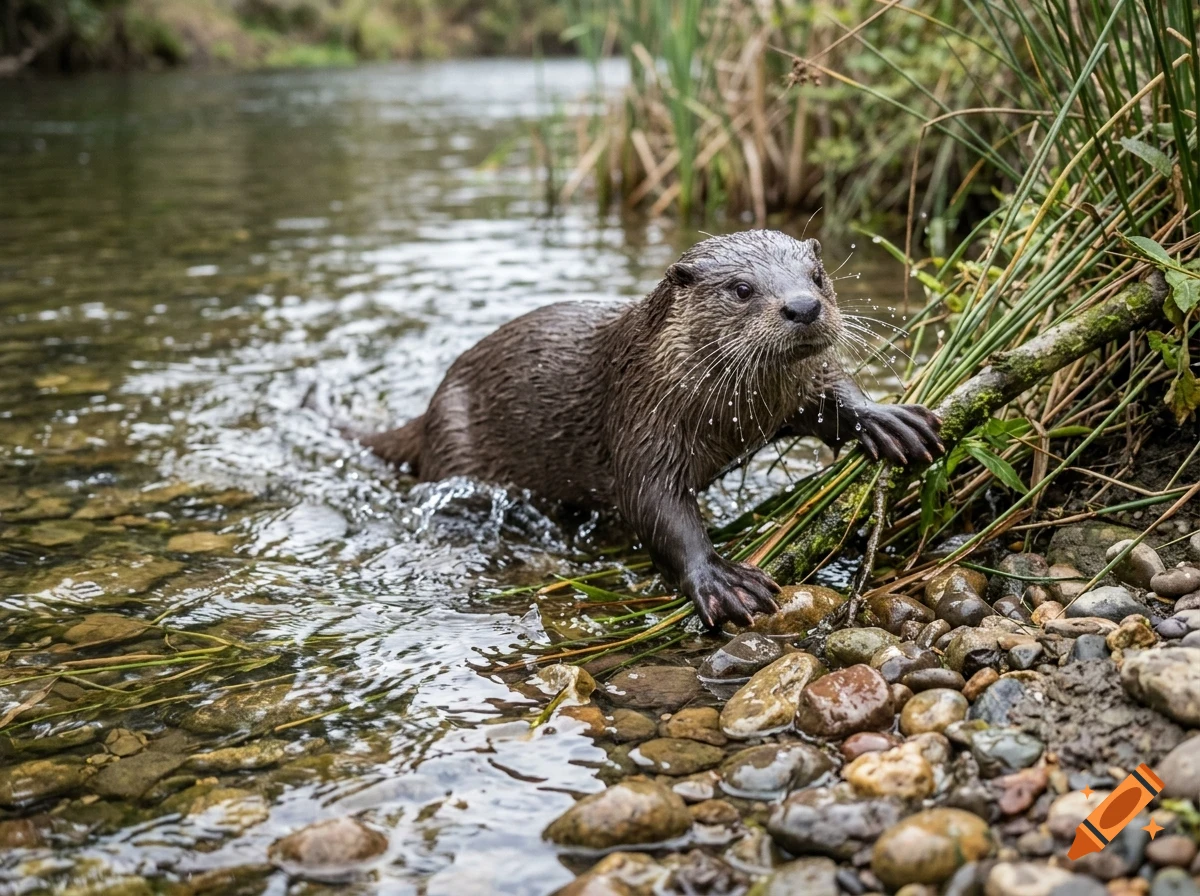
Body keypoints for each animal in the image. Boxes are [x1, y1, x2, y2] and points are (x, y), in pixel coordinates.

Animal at [360, 231, 943, 627]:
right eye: (742, 288)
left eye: (817, 277)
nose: (803, 306)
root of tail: (431, 407)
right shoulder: (642, 419)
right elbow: (655, 506)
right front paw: (720, 579)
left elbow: (832, 395)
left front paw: (888, 418)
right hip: (456, 441)